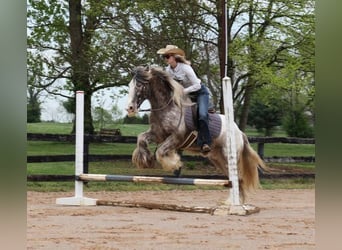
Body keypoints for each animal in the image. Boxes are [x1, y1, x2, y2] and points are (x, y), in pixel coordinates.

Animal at [125, 65, 268, 202]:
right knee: (233, 179)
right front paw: (145, 160)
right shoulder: (158, 134)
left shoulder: (177, 137)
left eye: (139, 85)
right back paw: (233, 202)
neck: (167, 107)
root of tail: (239, 132)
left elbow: (160, 152)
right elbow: (141, 138)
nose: (129, 108)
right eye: (129, 85)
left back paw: (237, 205)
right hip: (217, 159)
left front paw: (173, 163)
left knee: (238, 178)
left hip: (229, 156)